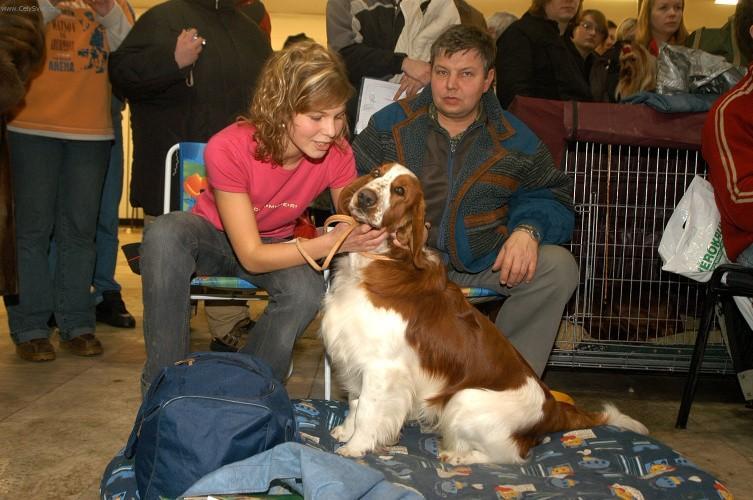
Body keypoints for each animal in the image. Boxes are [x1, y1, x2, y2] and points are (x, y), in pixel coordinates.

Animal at [318, 164, 648, 464]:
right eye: (376, 174)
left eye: (399, 190)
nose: (365, 197)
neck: (382, 262)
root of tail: (551, 409)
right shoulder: (356, 354)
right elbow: (355, 402)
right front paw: (345, 431)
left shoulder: (383, 367)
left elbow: (368, 409)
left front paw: (356, 446)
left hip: (465, 398)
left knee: (512, 456)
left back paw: (457, 456)